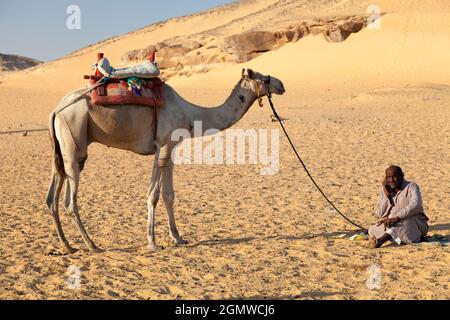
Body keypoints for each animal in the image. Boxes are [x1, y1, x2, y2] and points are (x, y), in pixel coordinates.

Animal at [45, 69, 284, 254]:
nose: (281, 85)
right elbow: (153, 195)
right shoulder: (162, 146)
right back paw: (92, 245)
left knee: (52, 197)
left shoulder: (170, 148)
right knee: (69, 201)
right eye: (264, 78)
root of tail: (56, 110)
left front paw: (177, 237)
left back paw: (67, 245)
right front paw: (152, 242)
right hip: (73, 140)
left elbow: (169, 195)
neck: (191, 114)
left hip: (60, 150)